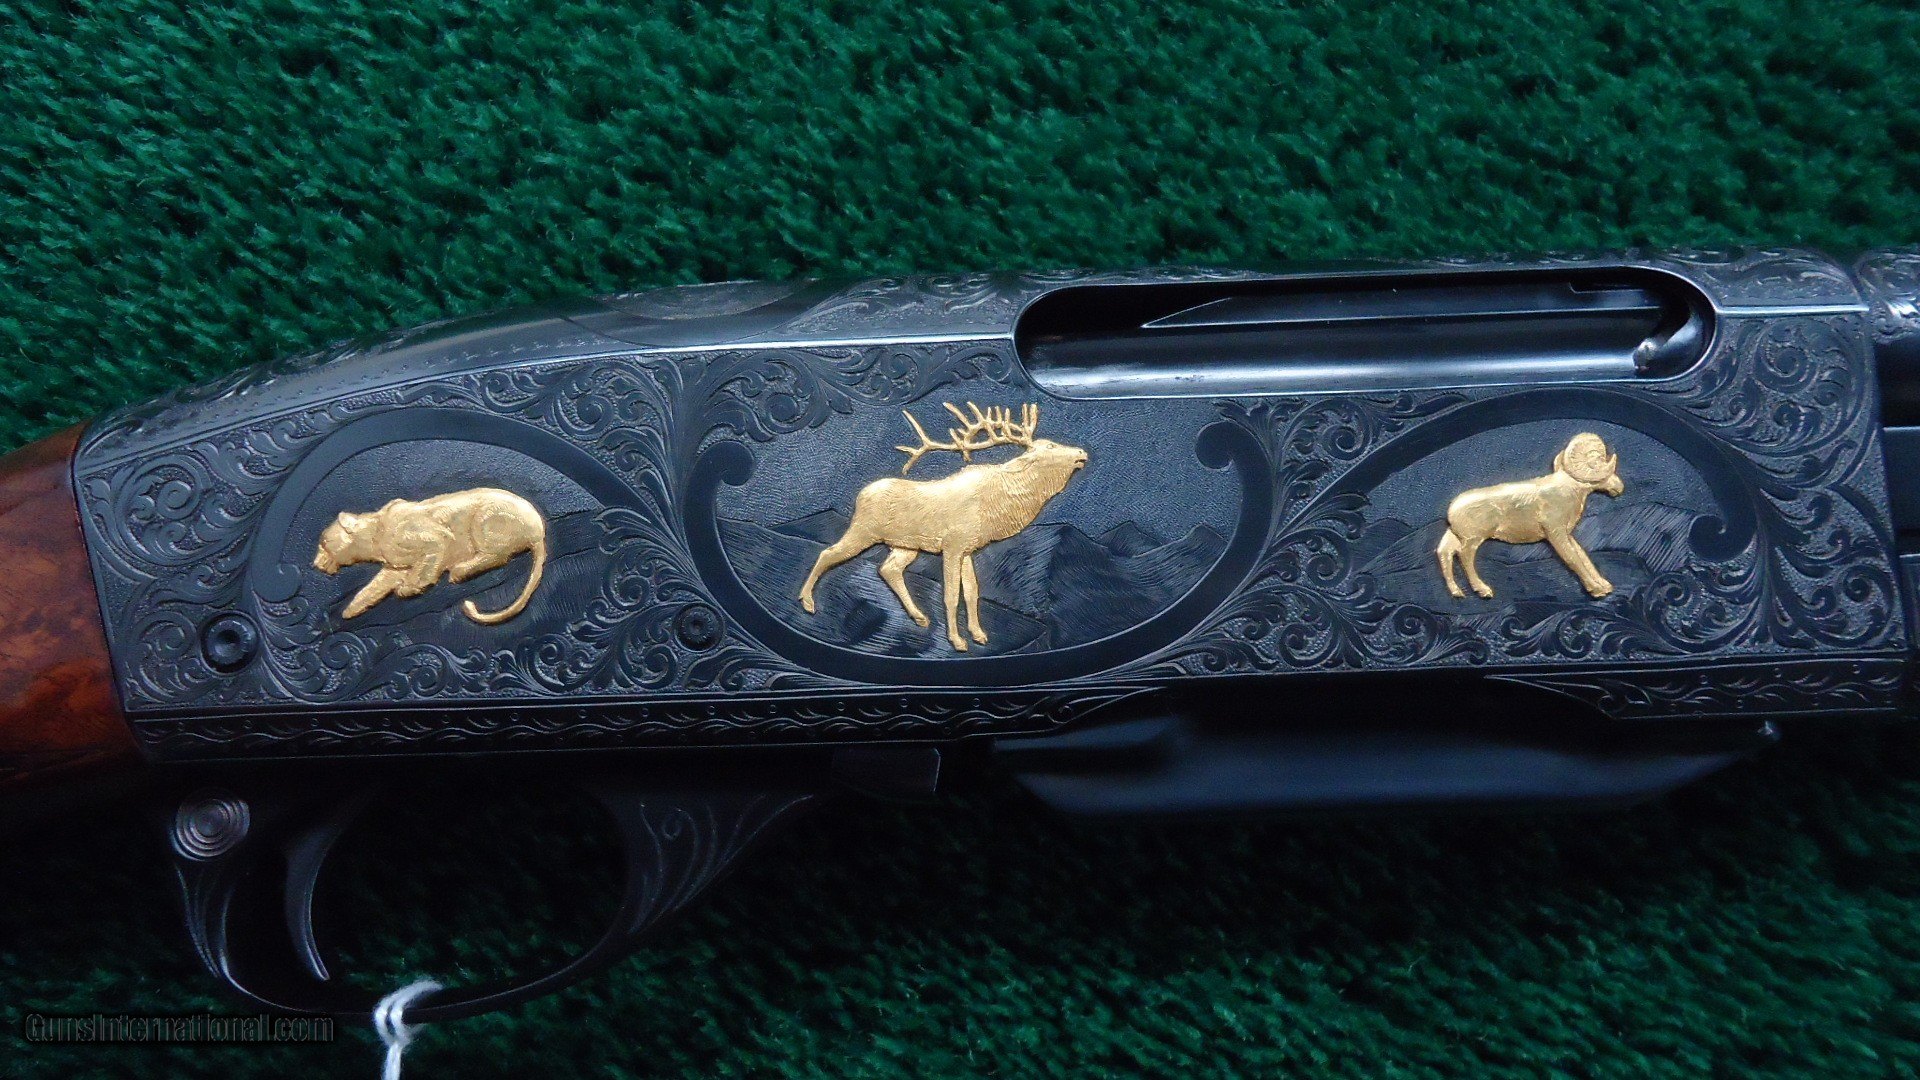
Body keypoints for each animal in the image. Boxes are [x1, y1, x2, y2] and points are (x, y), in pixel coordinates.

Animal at [798, 402, 1088, 652]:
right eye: (1050, 445)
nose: (1082, 452)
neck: (999, 503)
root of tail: (860, 495)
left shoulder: (968, 549)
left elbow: (972, 592)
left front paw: (979, 634)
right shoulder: (952, 546)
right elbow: (950, 594)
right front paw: (958, 641)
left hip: (905, 546)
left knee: (888, 569)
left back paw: (919, 617)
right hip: (863, 531)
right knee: (828, 553)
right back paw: (808, 602)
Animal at [1436, 432, 1624, 600]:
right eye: (1598, 462)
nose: (1619, 487)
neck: (1569, 491)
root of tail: (1452, 511)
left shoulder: (1567, 535)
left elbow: (1582, 557)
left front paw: (1604, 586)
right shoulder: (1556, 534)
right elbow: (1573, 559)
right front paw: (1596, 590)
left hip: (1456, 538)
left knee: (1445, 553)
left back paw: (1457, 592)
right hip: (1473, 540)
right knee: (1464, 557)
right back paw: (1483, 591)